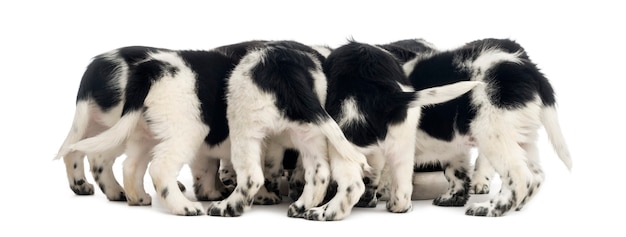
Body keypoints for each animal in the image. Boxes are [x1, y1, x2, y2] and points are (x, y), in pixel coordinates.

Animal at [400, 37, 572, 217]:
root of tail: (530, 70)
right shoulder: (452, 143)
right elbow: (455, 171)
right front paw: (453, 197)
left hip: (492, 133)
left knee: (520, 177)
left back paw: (489, 208)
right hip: (521, 136)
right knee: (537, 175)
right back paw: (517, 205)